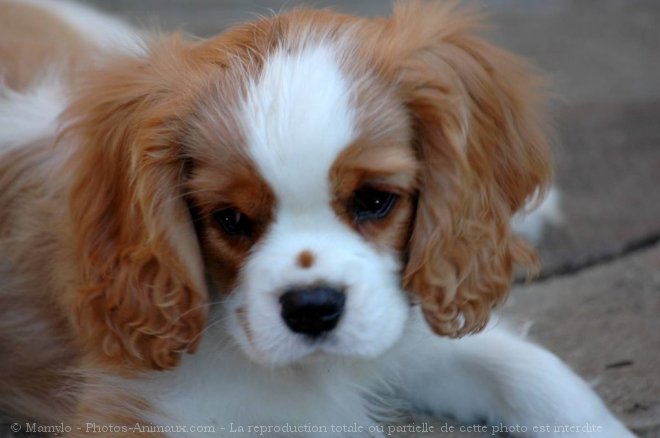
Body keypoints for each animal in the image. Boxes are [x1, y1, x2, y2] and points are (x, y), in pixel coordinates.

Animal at [0, 0, 636, 434]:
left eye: (375, 200)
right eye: (230, 219)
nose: (312, 309)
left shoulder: (398, 318)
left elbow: (527, 370)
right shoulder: (132, 407)